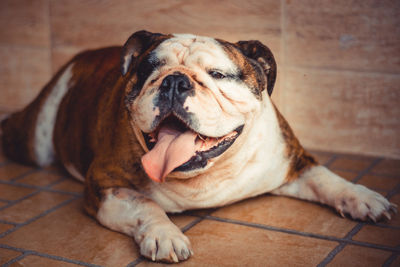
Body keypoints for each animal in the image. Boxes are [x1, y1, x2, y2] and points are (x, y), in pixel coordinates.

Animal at [1, 30, 396, 262]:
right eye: (149, 70)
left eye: (218, 75)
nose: (174, 81)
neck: (209, 173)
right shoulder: (105, 185)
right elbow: (145, 204)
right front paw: (164, 234)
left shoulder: (294, 161)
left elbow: (328, 179)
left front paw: (363, 198)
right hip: (34, 140)